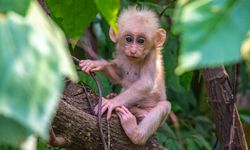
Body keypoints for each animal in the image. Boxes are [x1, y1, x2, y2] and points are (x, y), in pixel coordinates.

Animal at [80, 6, 170, 144]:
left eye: (141, 41)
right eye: (128, 39)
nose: (133, 50)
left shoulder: (152, 56)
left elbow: (146, 83)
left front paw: (112, 103)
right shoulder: (122, 53)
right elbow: (118, 75)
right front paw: (96, 63)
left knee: (164, 106)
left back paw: (135, 132)